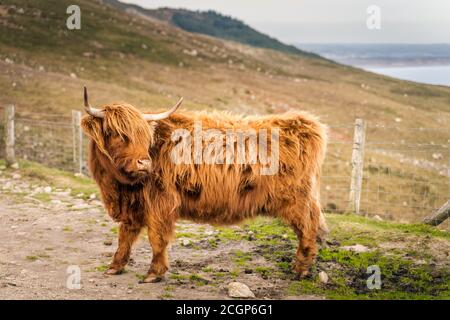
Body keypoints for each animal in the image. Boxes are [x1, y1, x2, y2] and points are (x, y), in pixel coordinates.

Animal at [81, 87, 326, 282]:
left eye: (144, 136)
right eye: (114, 132)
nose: (144, 162)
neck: (120, 186)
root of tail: (304, 123)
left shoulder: (160, 202)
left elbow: (156, 237)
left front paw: (154, 273)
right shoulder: (133, 205)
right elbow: (125, 236)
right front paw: (115, 267)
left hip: (296, 200)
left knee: (308, 227)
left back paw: (300, 269)